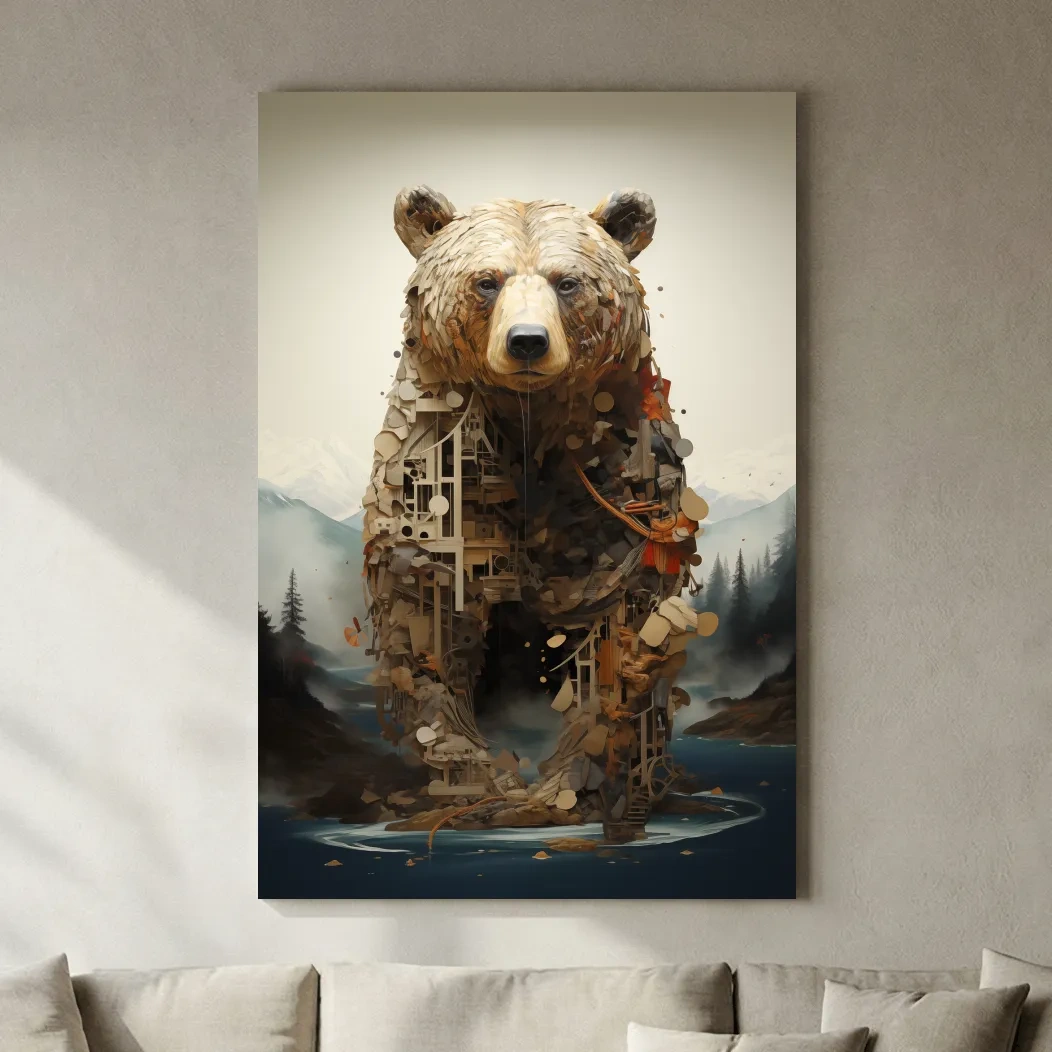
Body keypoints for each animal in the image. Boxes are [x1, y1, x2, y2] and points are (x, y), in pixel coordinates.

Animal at [360, 186, 714, 842]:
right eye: (487, 281)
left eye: (566, 281)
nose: (527, 341)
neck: (527, 424)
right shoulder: (436, 489)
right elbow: (429, 631)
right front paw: (480, 787)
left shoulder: (615, 489)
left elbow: (611, 635)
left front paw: (566, 788)